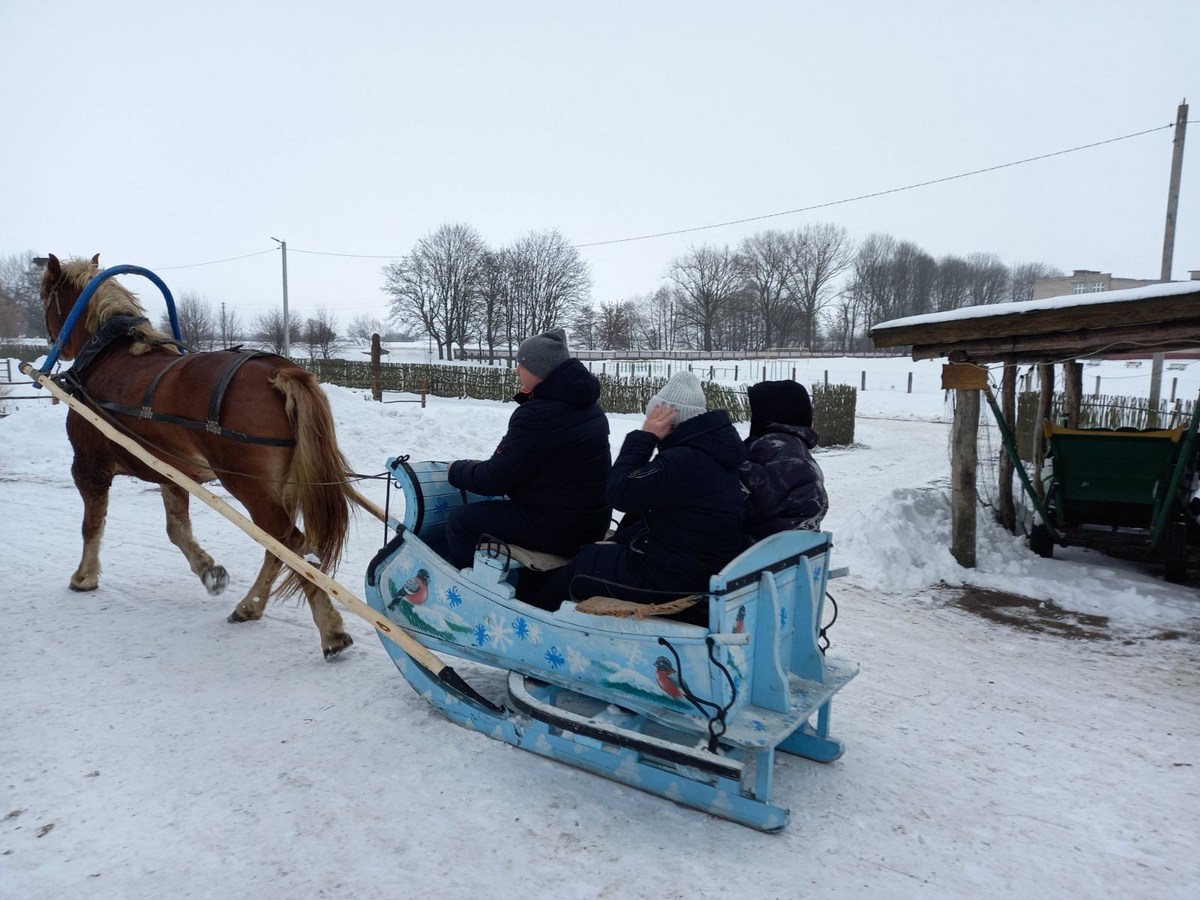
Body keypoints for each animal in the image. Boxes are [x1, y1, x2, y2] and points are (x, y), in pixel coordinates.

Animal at [41, 254, 360, 657]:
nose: (54, 343)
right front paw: (209, 571)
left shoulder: (88, 467)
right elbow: (177, 529)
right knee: (280, 547)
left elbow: (91, 525)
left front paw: (84, 577)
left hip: (249, 486)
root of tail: (280, 371)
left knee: (292, 544)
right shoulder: (168, 472)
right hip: (279, 488)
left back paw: (328, 629)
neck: (107, 355)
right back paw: (251, 607)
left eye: (44, 296)